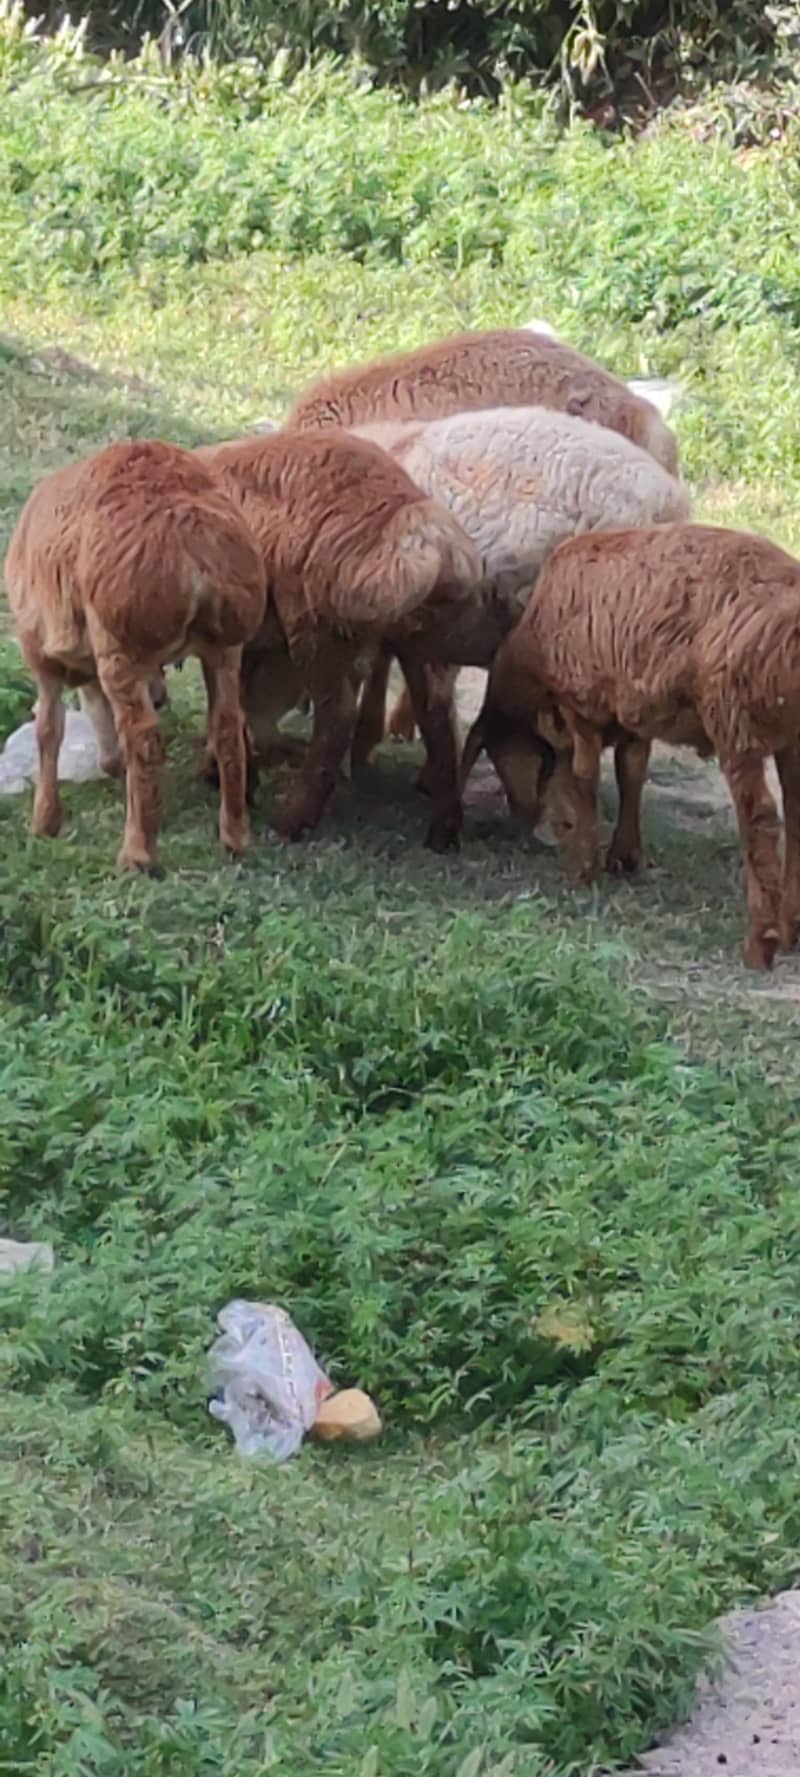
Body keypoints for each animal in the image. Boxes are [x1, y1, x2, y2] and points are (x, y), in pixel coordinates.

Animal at [4, 440, 266, 871]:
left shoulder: (40, 652)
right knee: (228, 724)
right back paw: (235, 837)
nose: (160, 694)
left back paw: (137, 853)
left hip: (120, 645)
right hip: (227, 643)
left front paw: (44, 822)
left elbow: (48, 729)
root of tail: (193, 543)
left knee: (142, 736)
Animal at [194, 430, 482, 845]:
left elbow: (225, 705)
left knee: (338, 716)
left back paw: (292, 820)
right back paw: (443, 833)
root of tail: (415, 527)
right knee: (438, 716)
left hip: (315, 626)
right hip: (423, 644)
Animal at [460, 522, 800, 970]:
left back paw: (761, 943)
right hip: (791, 734)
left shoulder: (581, 705)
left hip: (733, 719)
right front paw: (625, 858)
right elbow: (632, 774)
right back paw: (792, 929)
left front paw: (584, 869)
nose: (523, 818)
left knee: (759, 817)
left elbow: (585, 778)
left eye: (498, 755)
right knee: (797, 815)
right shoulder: (635, 714)